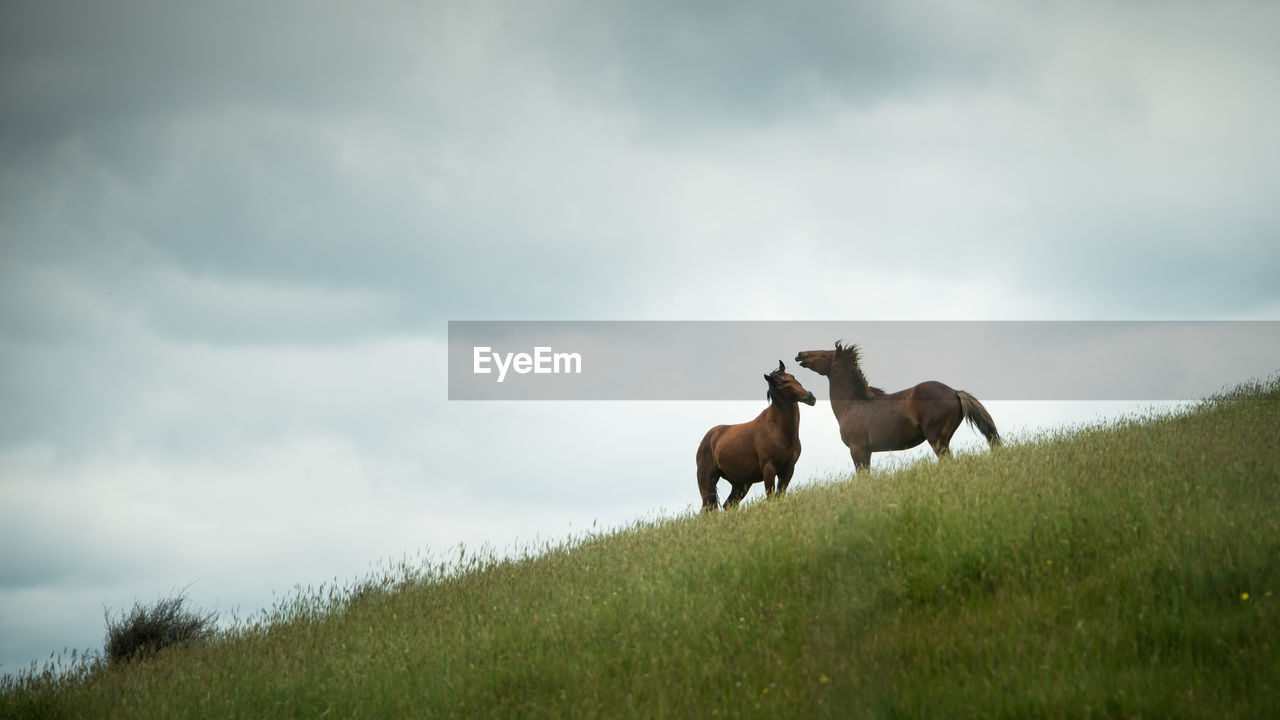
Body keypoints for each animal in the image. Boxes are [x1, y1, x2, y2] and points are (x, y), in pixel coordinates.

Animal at [696, 358, 814, 509]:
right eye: (781, 384)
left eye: (792, 377)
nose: (810, 397)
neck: (778, 430)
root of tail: (707, 439)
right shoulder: (769, 469)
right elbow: (771, 498)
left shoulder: (788, 469)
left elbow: (780, 496)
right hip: (708, 481)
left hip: (741, 484)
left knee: (728, 505)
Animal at [788, 340, 998, 471]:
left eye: (822, 354)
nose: (800, 355)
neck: (852, 406)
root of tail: (954, 391)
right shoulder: (867, 452)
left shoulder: (857, 450)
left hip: (937, 439)